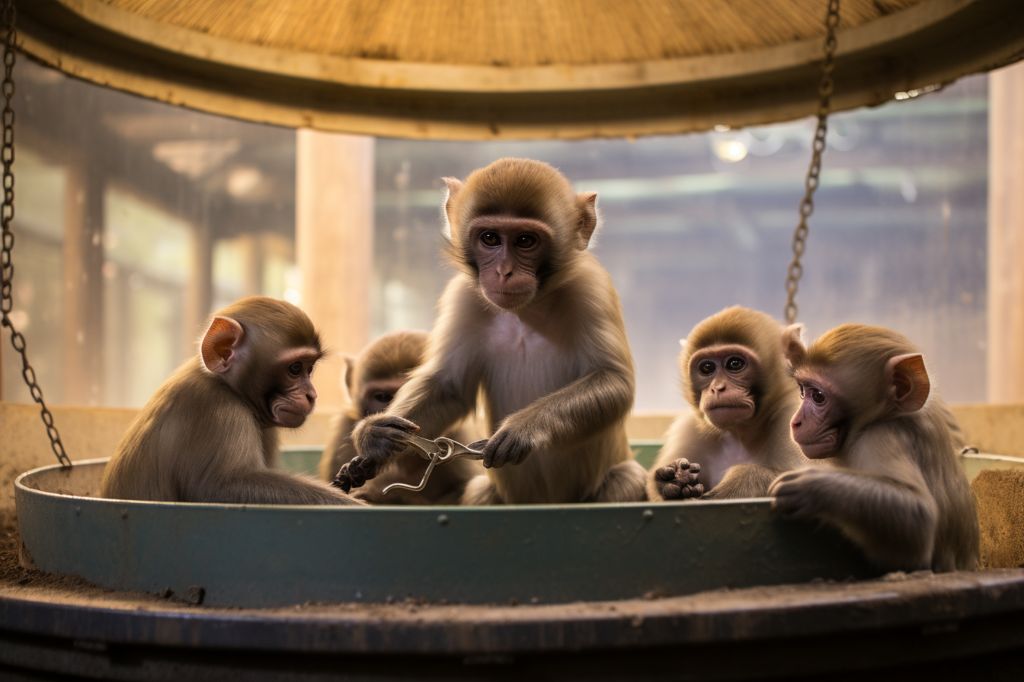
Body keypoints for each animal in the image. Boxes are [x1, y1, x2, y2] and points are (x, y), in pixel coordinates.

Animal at [101, 296, 363, 506]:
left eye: (309, 368)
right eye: (295, 368)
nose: (312, 395)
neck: (226, 386)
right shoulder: (218, 410)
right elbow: (222, 486)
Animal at [318, 330, 482, 504]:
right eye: (382, 397)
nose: (387, 410)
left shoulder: (458, 437)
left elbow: (458, 490)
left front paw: (380, 495)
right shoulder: (343, 429)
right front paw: (372, 435)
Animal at [344, 158, 646, 505]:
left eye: (526, 240)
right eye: (490, 238)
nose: (504, 272)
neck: (526, 310)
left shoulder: (591, 289)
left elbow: (614, 381)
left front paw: (524, 429)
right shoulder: (464, 299)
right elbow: (449, 387)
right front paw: (376, 436)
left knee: (627, 478)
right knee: (479, 490)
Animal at [648, 306, 808, 501]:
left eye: (735, 363)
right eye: (707, 368)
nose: (717, 388)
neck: (740, 433)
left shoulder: (792, 413)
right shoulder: (688, 429)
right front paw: (674, 479)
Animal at [768, 323, 979, 572]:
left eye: (818, 396)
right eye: (802, 391)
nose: (795, 422)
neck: (887, 416)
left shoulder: (879, 437)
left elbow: (919, 518)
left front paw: (811, 486)